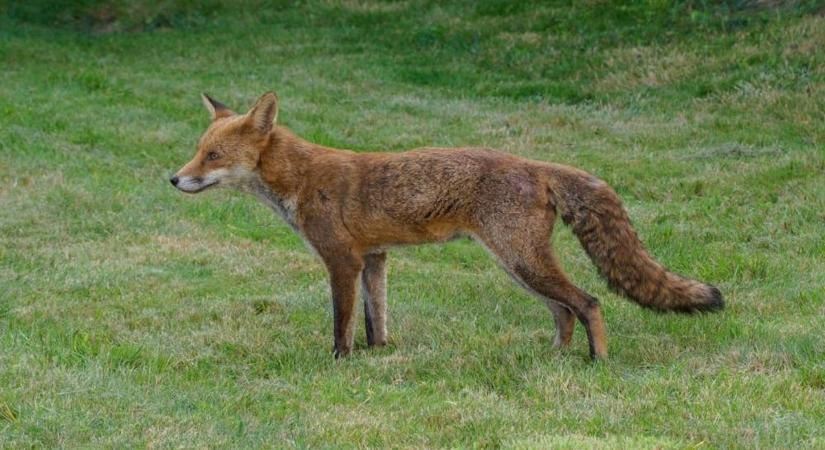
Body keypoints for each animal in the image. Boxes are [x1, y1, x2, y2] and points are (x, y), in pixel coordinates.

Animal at [169, 93, 720, 360]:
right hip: (518, 267)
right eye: (198, 149)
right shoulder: (375, 258)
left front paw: (339, 364)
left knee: (588, 303)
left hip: (521, 261)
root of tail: (535, 163)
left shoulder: (342, 261)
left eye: (213, 156)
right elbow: (376, 319)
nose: (174, 179)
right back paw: (556, 358)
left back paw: (597, 363)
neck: (301, 179)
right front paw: (379, 357)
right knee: (563, 312)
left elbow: (341, 325)